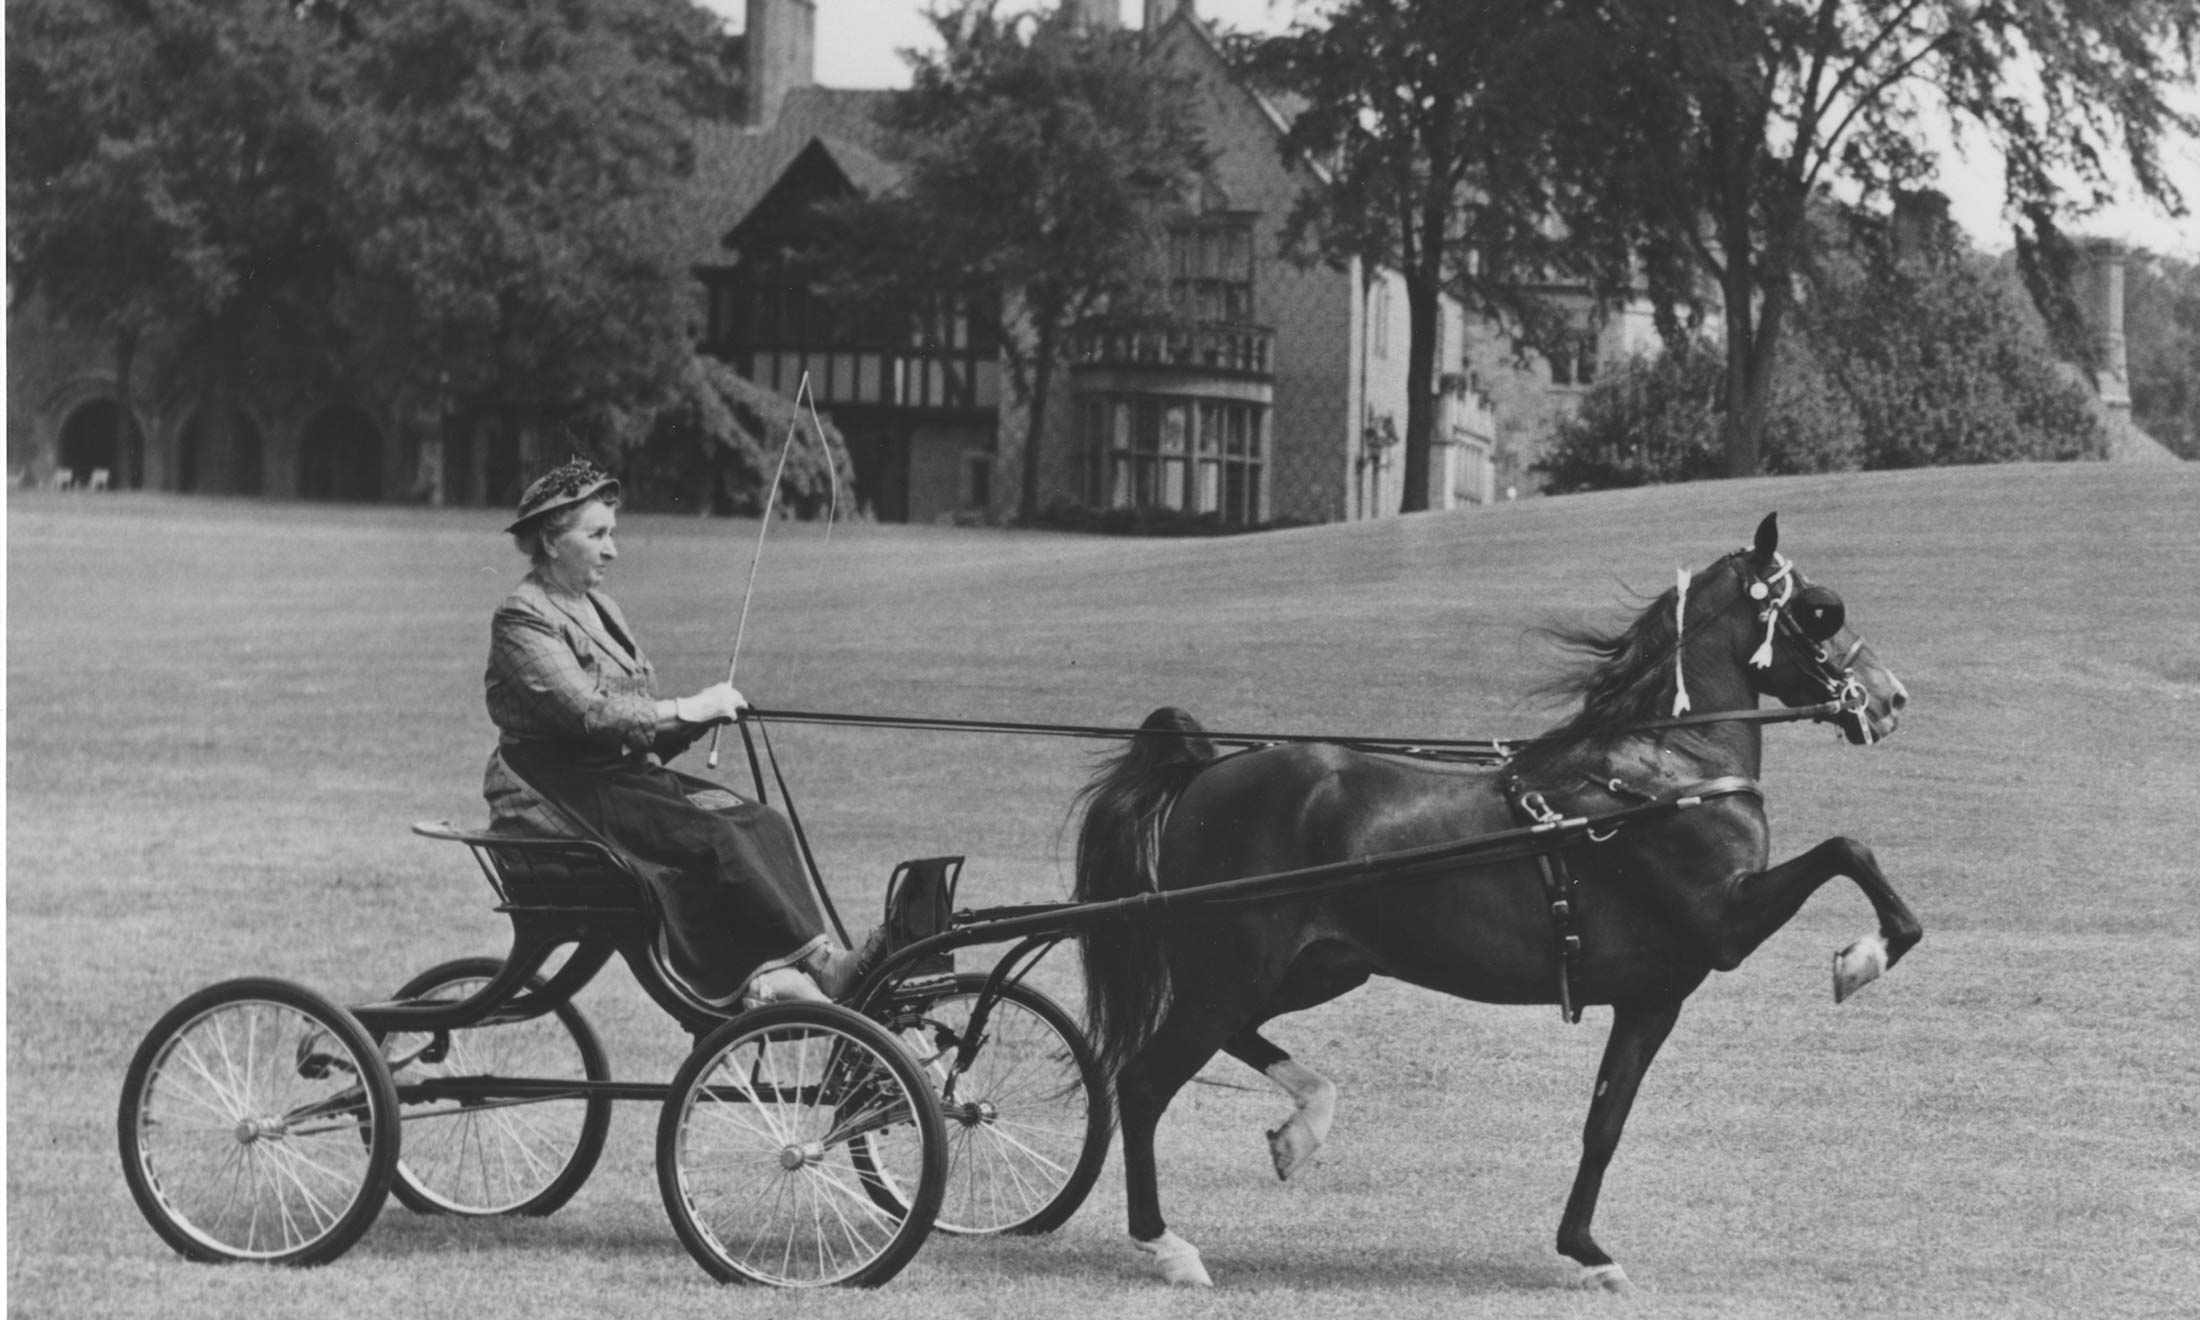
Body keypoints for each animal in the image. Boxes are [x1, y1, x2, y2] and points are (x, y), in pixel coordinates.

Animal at [1073, 512, 1918, 1284]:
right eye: (1822, 608)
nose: (1890, 698)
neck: (1665, 770)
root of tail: (1204, 773)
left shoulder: (1652, 997)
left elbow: (1604, 1125)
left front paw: (1586, 1251)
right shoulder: (1725, 922)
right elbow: (1849, 850)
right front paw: (1863, 957)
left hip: (1311, 968)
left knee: (1231, 1038)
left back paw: (1303, 1124)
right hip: (1232, 970)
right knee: (1142, 1082)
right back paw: (1166, 1245)